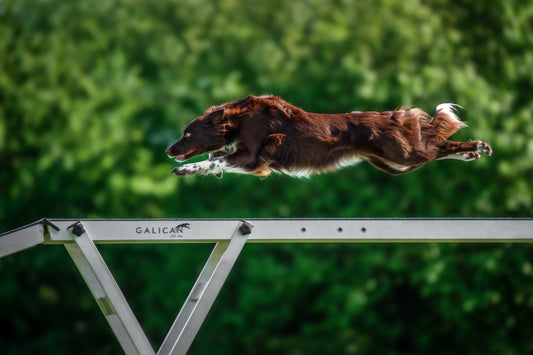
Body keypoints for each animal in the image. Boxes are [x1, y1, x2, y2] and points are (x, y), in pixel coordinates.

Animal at [165, 95, 490, 178]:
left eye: (187, 133)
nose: (169, 150)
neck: (239, 120)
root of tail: (389, 117)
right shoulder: (253, 160)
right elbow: (217, 157)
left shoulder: (252, 157)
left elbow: (215, 160)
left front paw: (186, 169)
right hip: (392, 162)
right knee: (438, 147)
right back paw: (470, 152)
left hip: (403, 154)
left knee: (437, 146)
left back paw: (477, 147)